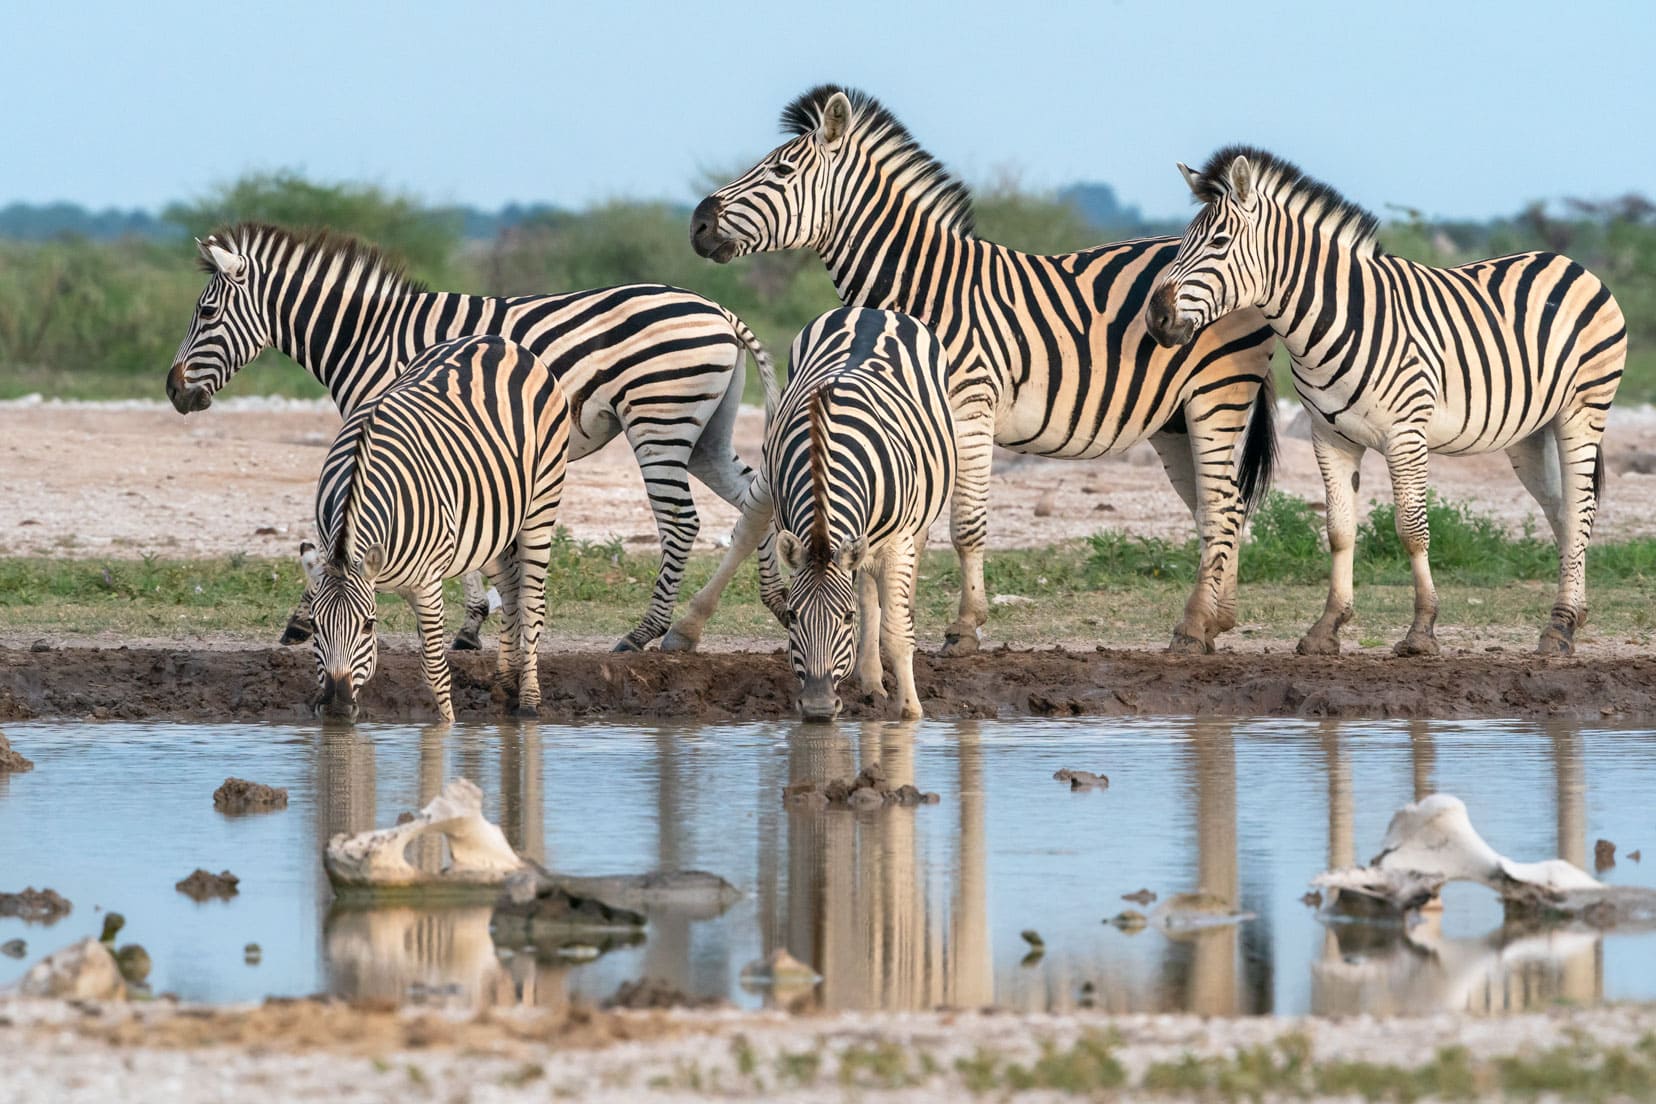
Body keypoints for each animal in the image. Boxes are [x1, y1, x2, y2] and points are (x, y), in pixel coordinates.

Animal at [168, 225, 781, 655]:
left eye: (207, 311)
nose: (173, 391)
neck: (369, 340)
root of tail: (717, 308)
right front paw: (472, 624)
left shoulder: (394, 430)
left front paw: (305, 618)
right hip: (704, 434)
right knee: (754, 499)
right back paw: (762, 607)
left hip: (659, 419)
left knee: (681, 522)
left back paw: (644, 632)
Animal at [304, 332, 569, 721]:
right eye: (314, 626)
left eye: (369, 625)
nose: (337, 708)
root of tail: (497, 340)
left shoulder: (427, 585)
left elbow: (434, 670)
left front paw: (448, 725)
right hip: (486, 528)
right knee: (509, 585)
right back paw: (505, 685)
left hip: (541, 503)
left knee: (531, 599)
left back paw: (529, 702)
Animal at [688, 86, 1278, 662]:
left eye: (781, 169)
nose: (697, 224)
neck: (925, 286)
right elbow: (913, 524)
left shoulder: (970, 405)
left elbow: (965, 525)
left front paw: (964, 629)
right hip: (1174, 419)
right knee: (1219, 509)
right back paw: (1216, 620)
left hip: (1217, 396)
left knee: (1222, 508)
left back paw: (1196, 628)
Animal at [761, 306, 960, 721]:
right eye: (792, 616)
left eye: (846, 618)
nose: (819, 708)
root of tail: (870, 310)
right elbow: (870, 606)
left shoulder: (899, 542)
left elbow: (896, 630)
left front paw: (909, 710)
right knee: (869, 591)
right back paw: (870, 680)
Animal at [1145, 151, 1622, 662]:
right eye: (1183, 241)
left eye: (1219, 242)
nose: (1156, 317)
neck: (1333, 319)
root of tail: (1568, 261)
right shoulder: (1329, 435)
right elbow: (1338, 530)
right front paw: (1327, 628)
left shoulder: (1405, 434)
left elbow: (1412, 530)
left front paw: (1421, 631)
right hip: (1530, 431)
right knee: (1562, 512)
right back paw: (1572, 617)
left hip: (1584, 410)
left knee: (1580, 508)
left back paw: (1560, 630)